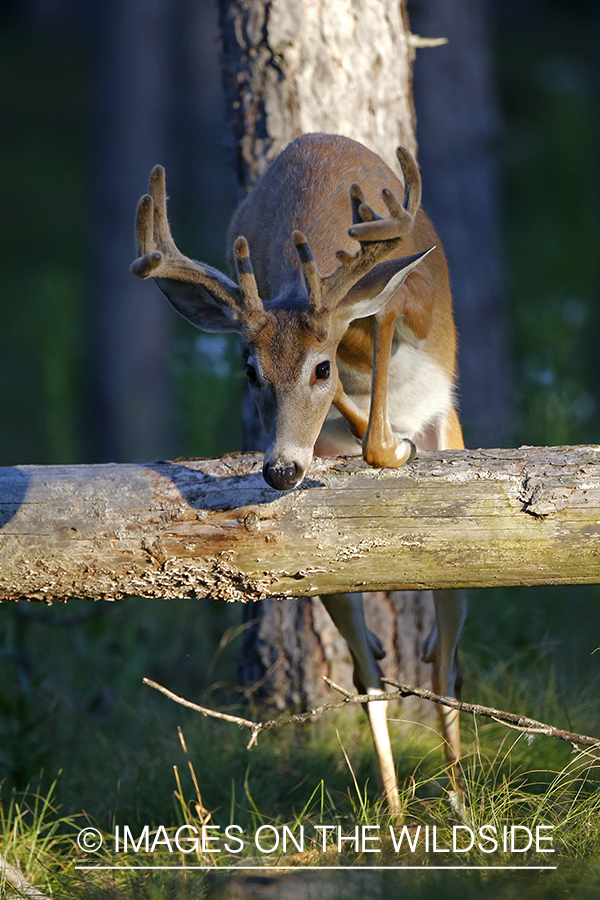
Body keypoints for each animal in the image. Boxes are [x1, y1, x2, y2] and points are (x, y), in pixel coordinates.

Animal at [130, 134, 468, 816]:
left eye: (319, 367)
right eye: (248, 368)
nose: (282, 469)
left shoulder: (402, 307)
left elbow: (380, 321)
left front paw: (393, 447)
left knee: (444, 657)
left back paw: (458, 798)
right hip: (324, 562)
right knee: (370, 673)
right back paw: (395, 811)